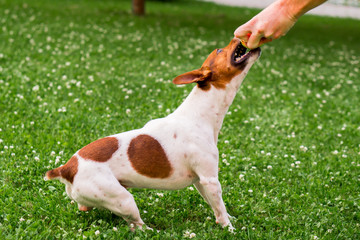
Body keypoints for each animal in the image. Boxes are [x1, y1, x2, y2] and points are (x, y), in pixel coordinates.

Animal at [45, 38, 260, 232]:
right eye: (220, 50)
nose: (238, 36)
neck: (199, 114)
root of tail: (66, 168)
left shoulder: (201, 181)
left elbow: (216, 206)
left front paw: (228, 218)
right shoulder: (210, 179)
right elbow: (220, 208)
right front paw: (229, 228)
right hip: (124, 200)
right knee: (137, 226)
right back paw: (152, 230)